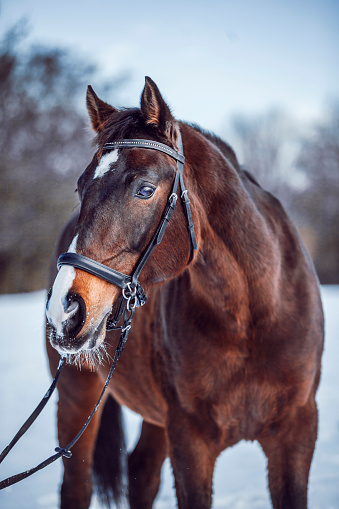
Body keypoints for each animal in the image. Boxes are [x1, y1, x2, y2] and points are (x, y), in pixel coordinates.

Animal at [44, 76, 324, 508]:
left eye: (145, 189)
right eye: (80, 187)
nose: (65, 311)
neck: (252, 318)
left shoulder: (297, 433)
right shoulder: (190, 441)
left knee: (141, 473)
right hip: (78, 393)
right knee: (77, 485)